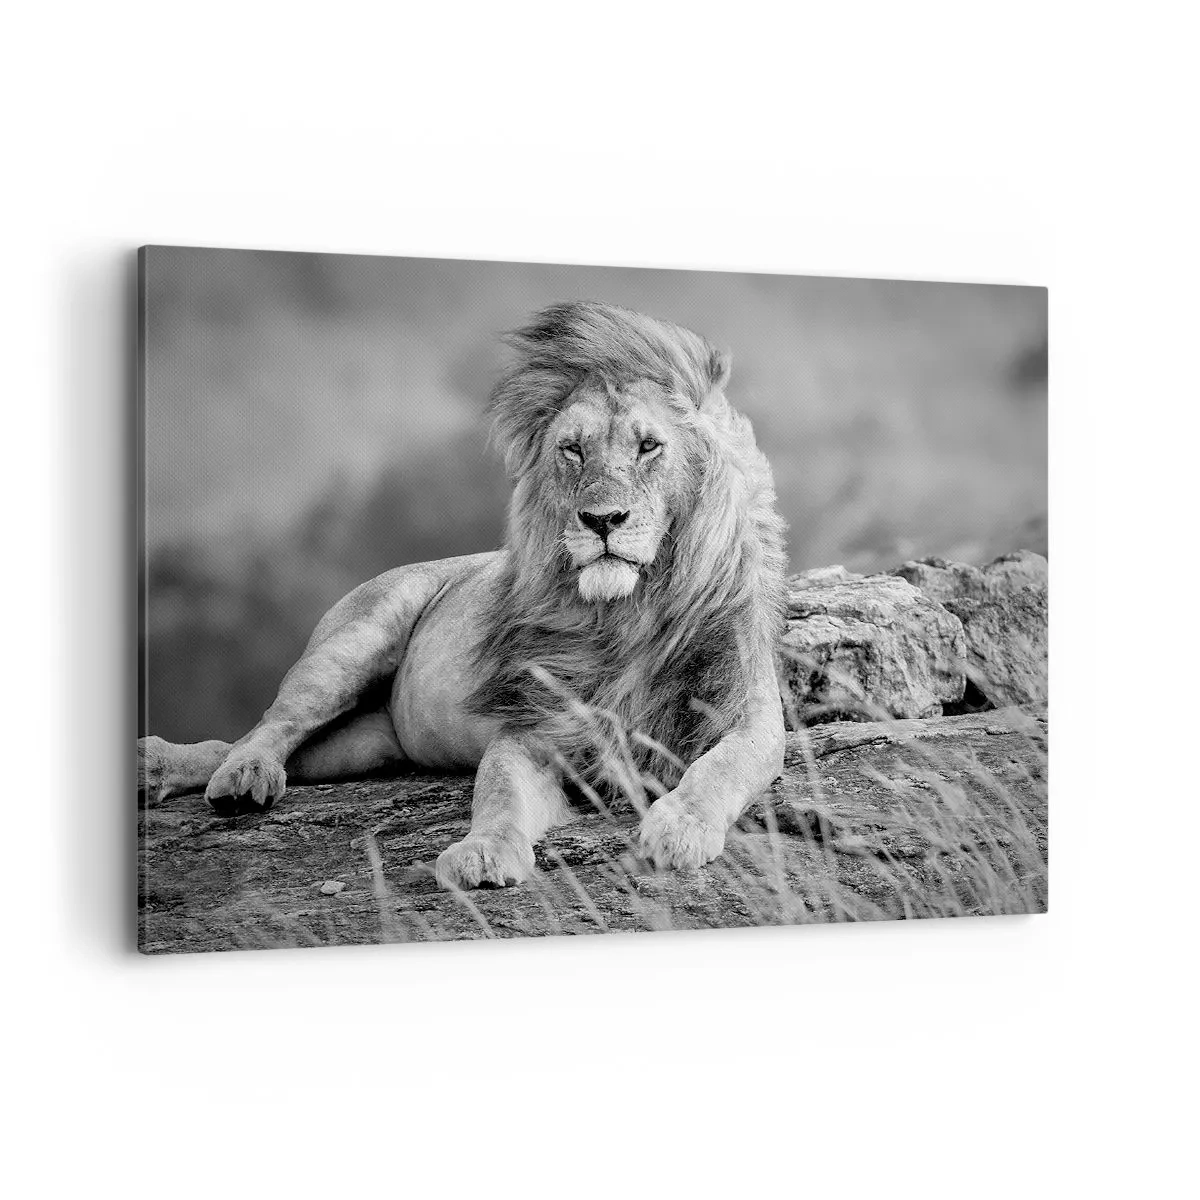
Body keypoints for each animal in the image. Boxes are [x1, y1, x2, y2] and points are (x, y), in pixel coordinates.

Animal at [138, 300, 788, 889]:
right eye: (572, 449)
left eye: (649, 446)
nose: (602, 519)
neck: (627, 614)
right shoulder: (533, 727)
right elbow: (497, 793)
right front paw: (482, 853)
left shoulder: (749, 718)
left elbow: (718, 770)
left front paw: (677, 830)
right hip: (351, 644)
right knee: (268, 726)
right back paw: (232, 774)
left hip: (364, 745)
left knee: (271, 747)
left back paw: (169, 769)